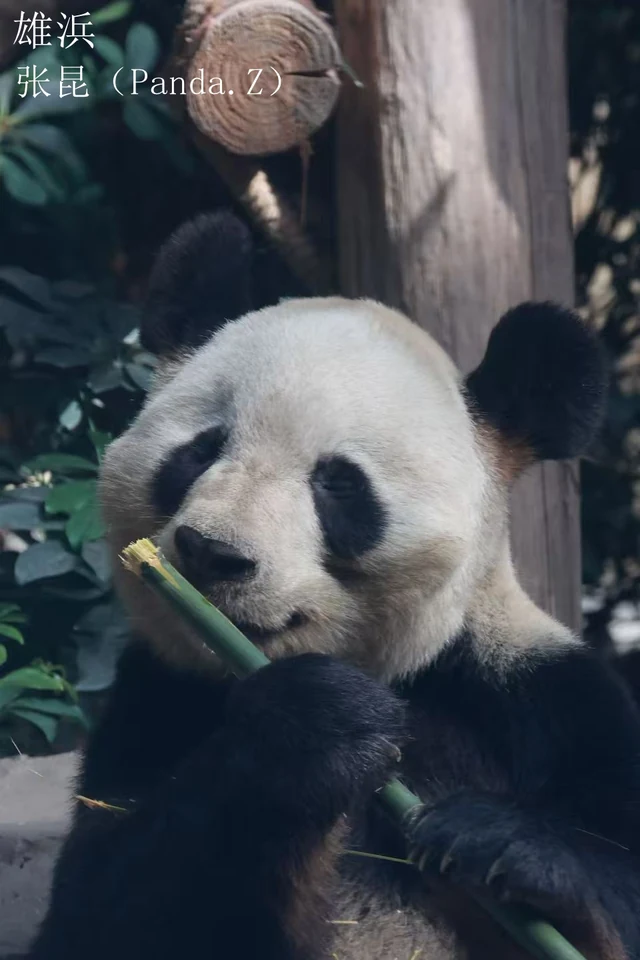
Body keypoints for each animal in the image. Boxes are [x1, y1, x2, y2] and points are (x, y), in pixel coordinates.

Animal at [29, 211, 640, 960]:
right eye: (200, 451)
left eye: (339, 483)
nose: (213, 553)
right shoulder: (158, 695)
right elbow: (101, 909)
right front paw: (319, 724)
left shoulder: (541, 701)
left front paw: (501, 845)